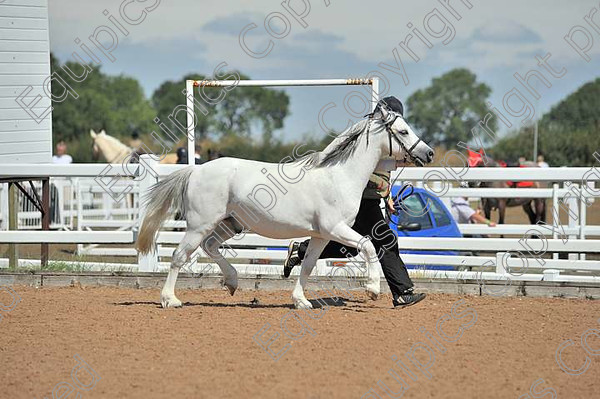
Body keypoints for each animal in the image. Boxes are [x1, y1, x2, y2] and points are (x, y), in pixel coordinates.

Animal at [136, 99, 434, 310]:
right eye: (403, 131)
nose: (429, 153)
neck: (339, 176)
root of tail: (195, 170)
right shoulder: (335, 229)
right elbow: (369, 246)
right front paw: (372, 290)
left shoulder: (321, 235)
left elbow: (308, 265)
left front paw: (301, 301)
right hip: (199, 225)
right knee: (179, 256)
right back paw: (170, 300)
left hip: (230, 223)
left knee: (210, 247)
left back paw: (232, 282)